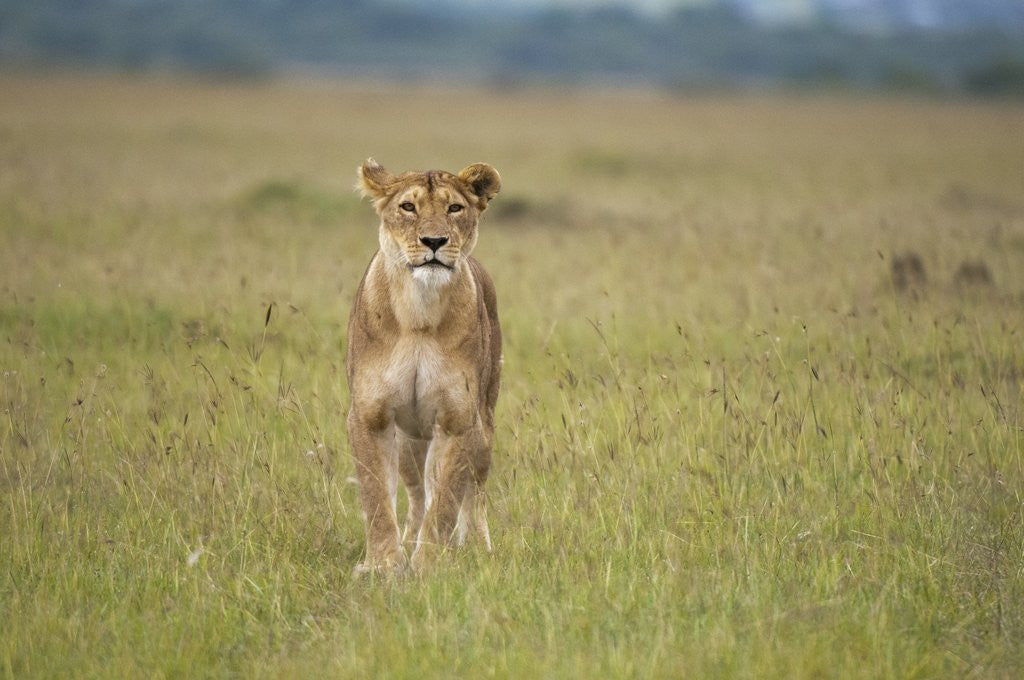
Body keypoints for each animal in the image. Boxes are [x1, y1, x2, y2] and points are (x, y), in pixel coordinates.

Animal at [346, 158, 502, 573]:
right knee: (417, 495)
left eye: (455, 208)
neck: (419, 311)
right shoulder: (370, 416)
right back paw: (408, 539)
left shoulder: (458, 419)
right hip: (410, 443)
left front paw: (429, 565)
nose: (434, 242)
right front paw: (384, 565)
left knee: (472, 492)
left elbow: (446, 500)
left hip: (482, 429)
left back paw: (477, 547)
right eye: (408, 207)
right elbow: (376, 498)